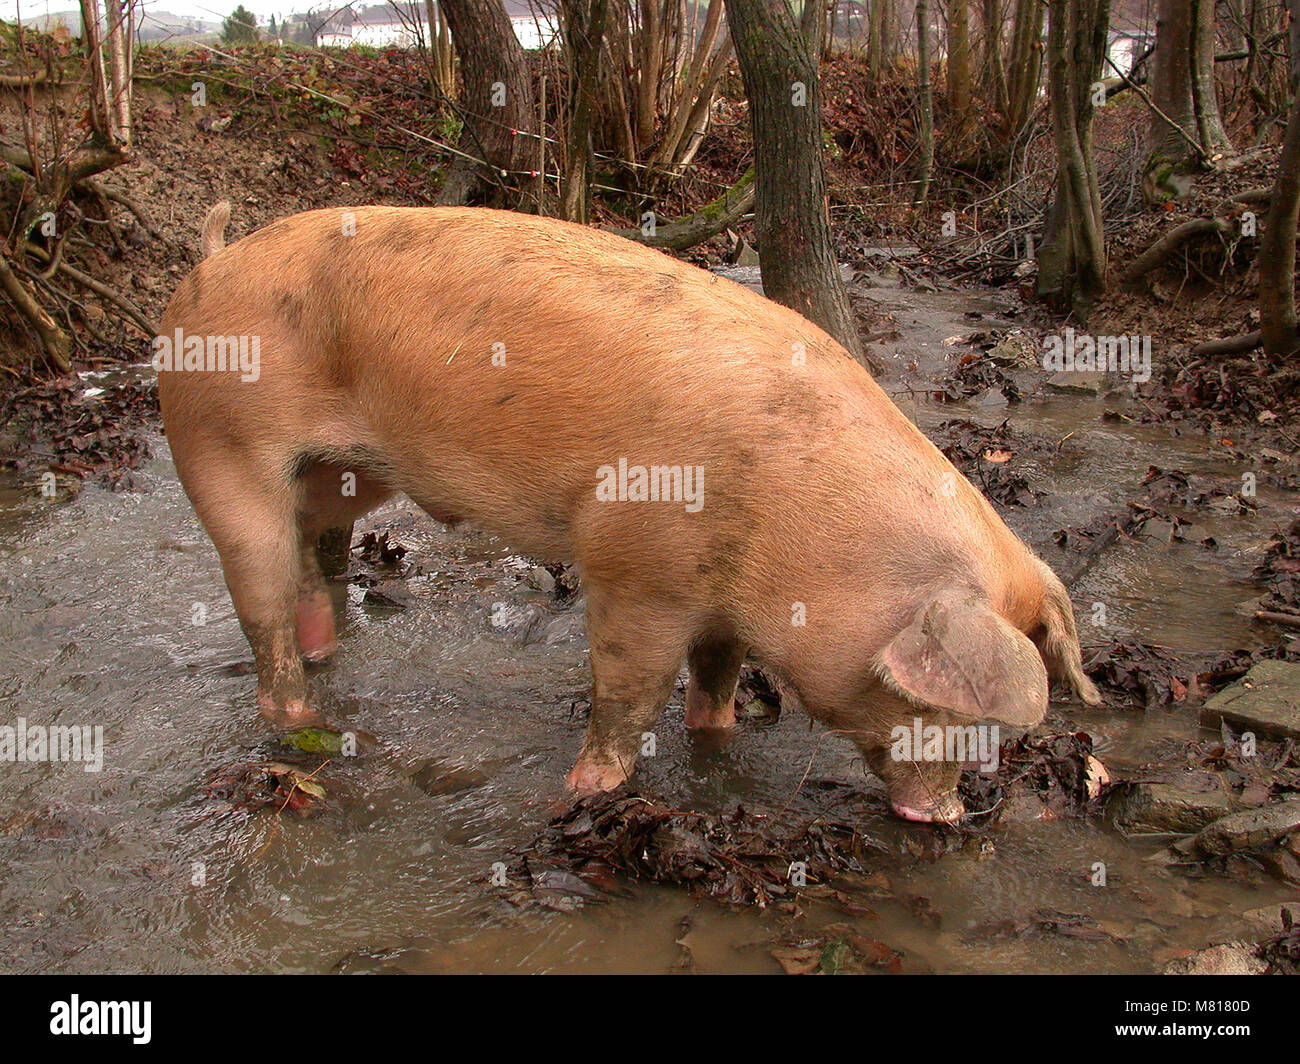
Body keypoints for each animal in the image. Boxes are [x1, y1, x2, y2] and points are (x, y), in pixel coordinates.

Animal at [157, 205, 1102, 822]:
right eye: (946, 709)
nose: (945, 815)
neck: (799, 531)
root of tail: (207, 265)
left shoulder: (723, 597)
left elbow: (714, 675)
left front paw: (717, 736)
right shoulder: (632, 563)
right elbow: (628, 689)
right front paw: (586, 792)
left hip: (344, 472)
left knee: (316, 549)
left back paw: (326, 652)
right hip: (217, 449)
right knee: (260, 600)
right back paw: (301, 718)